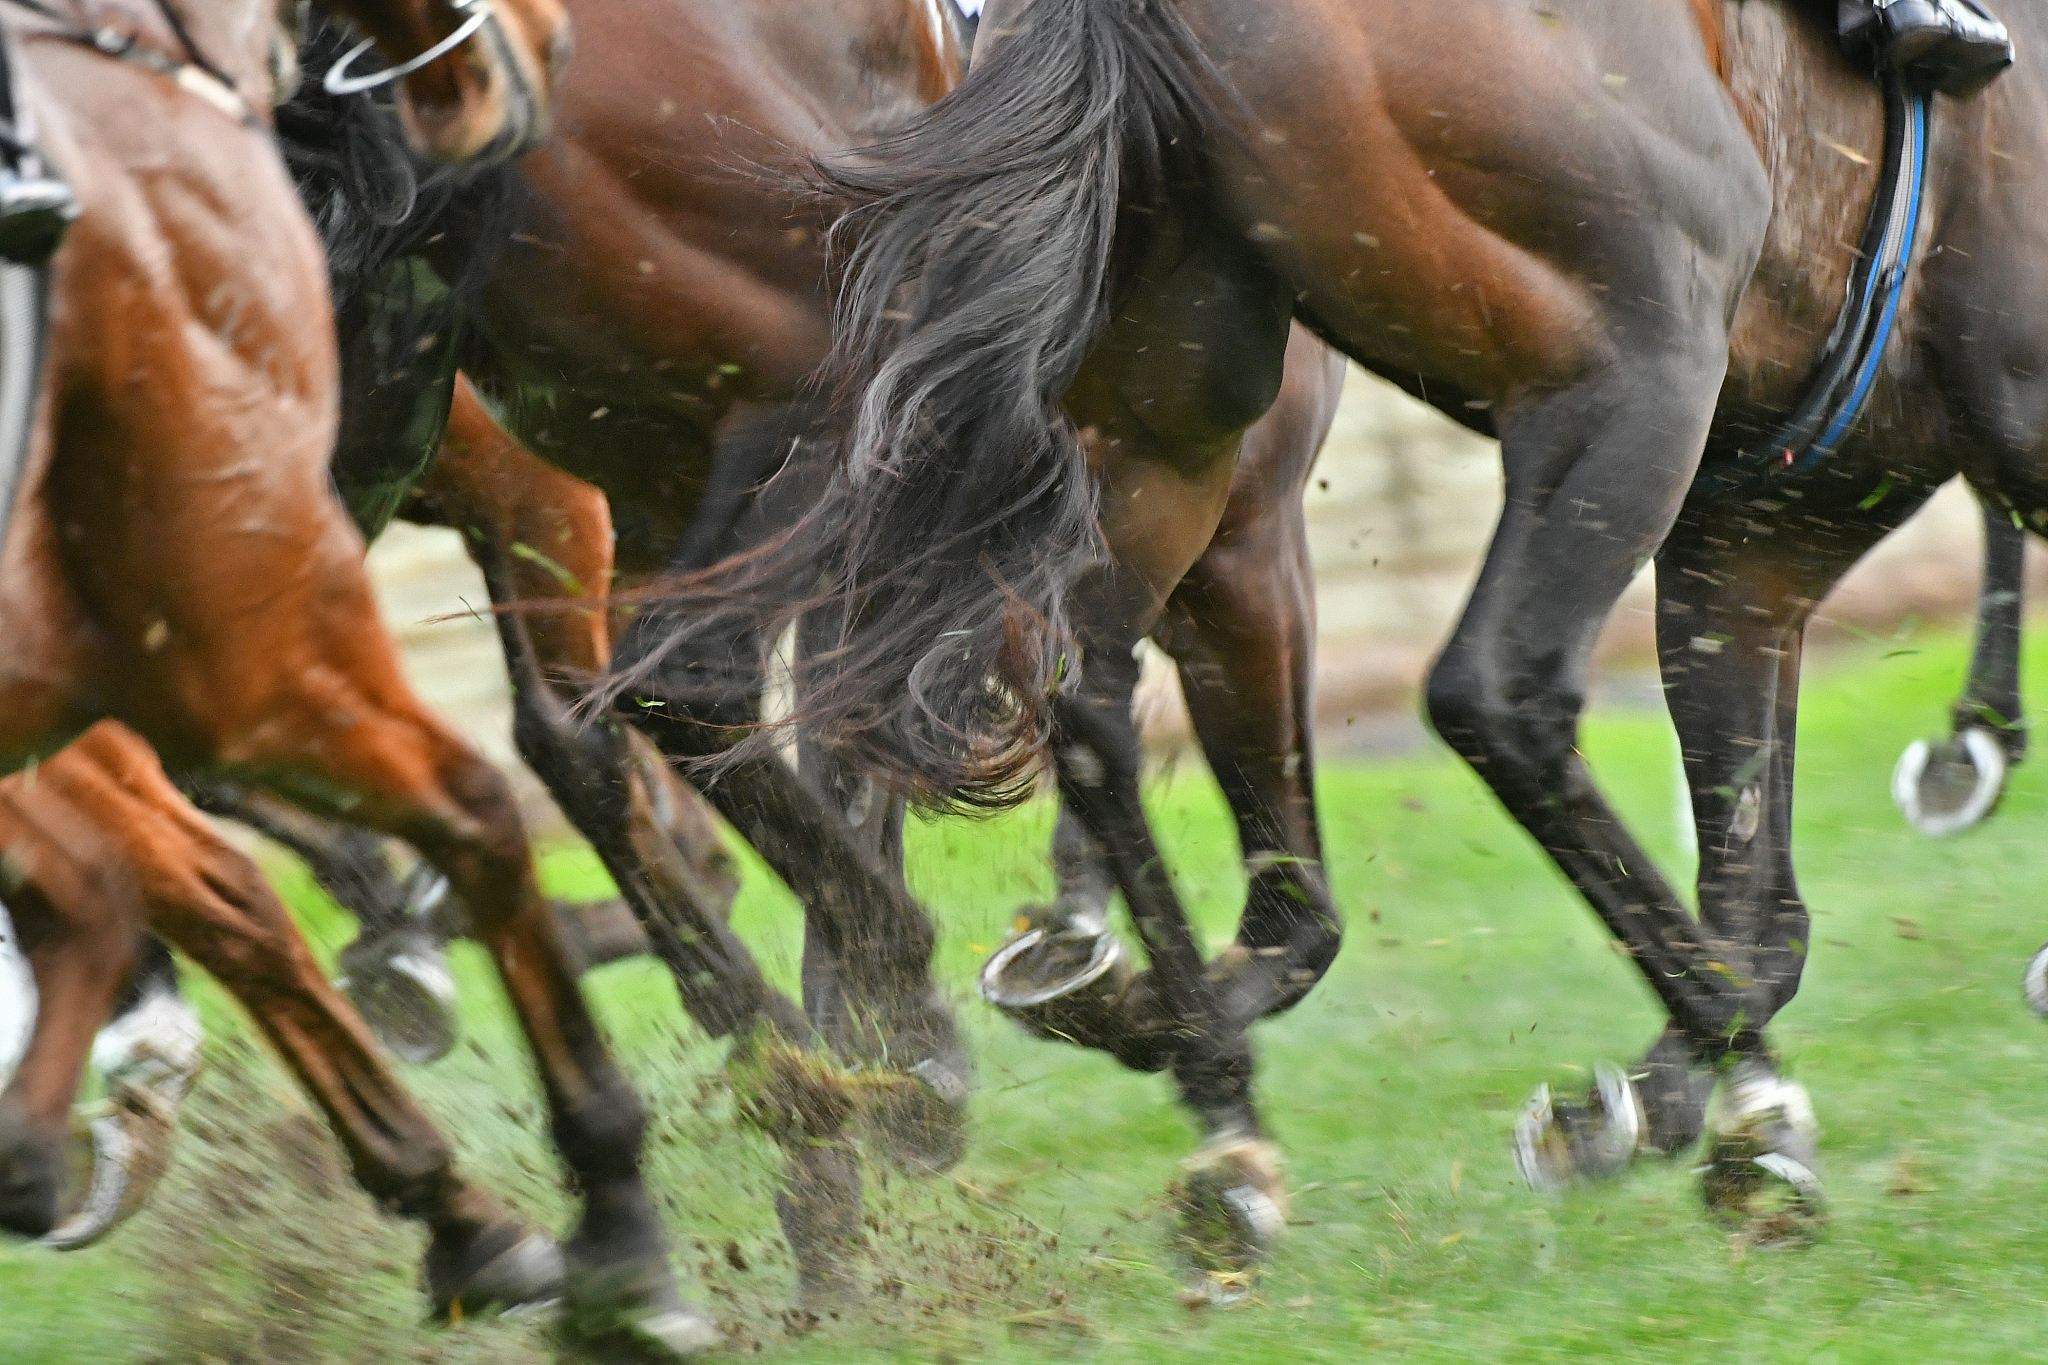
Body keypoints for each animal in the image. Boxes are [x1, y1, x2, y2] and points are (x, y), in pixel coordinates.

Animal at [622, 0, 2048, 1259]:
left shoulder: (1748, 550)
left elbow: (1760, 889)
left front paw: (1647, 1094)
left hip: (1170, 408)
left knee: (1079, 719)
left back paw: (1176, 1078)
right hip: (1626, 368)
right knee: (1493, 694)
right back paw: (1757, 1105)